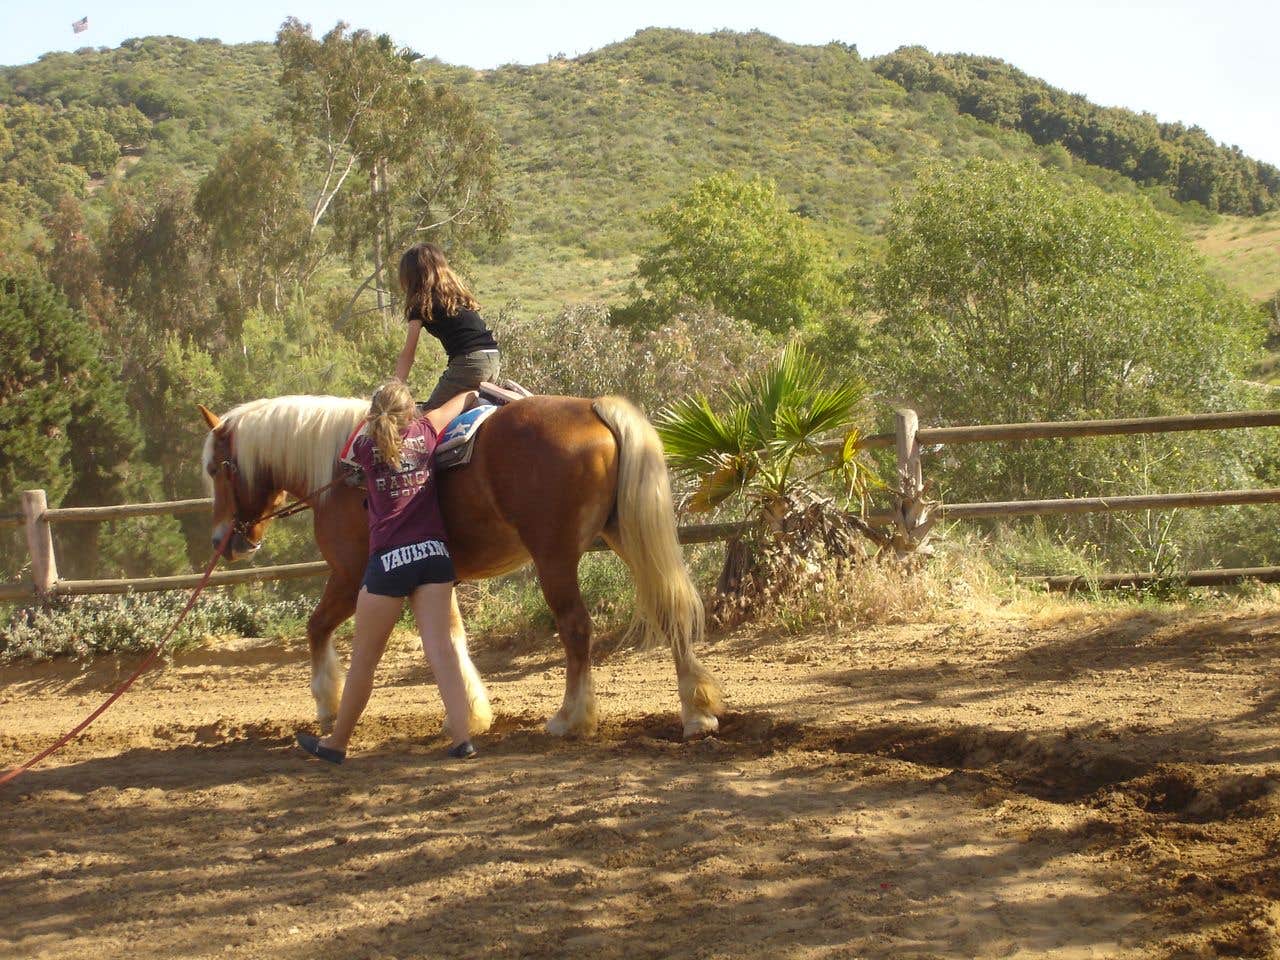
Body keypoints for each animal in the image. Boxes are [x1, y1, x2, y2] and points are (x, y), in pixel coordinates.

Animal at [198, 393, 724, 740]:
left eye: (215, 468)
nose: (222, 539)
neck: (338, 470)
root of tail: (593, 407)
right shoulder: (435, 575)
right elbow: (451, 640)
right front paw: (469, 714)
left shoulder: (352, 578)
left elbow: (317, 627)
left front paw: (328, 705)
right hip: (627, 535)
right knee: (669, 607)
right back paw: (696, 713)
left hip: (555, 556)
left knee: (576, 628)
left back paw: (570, 718)